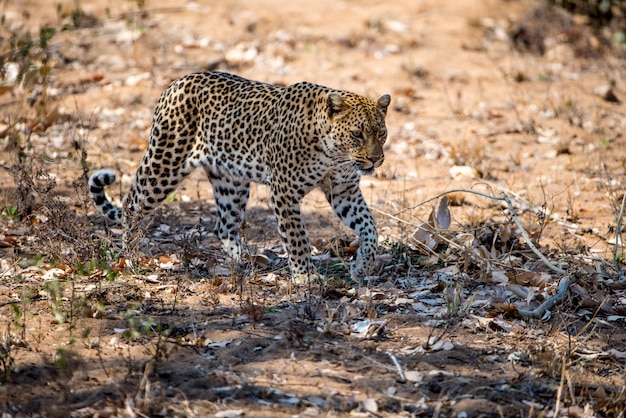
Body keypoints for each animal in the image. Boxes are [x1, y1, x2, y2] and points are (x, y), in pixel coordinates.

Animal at [89, 72, 390, 286]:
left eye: (382, 133)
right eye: (357, 134)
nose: (376, 160)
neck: (334, 154)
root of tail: (175, 83)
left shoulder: (344, 190)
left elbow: (369, 227)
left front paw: (362, 266)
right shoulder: (284, 191)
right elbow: (297, 237)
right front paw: (305, 275)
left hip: (231, 182)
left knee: (224, 226)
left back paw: (246, 259)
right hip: (165, 163)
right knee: (131, 204)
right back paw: (132, 257)